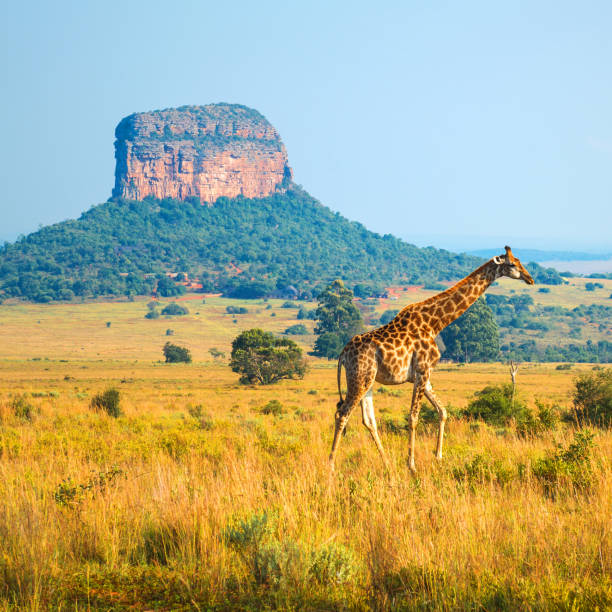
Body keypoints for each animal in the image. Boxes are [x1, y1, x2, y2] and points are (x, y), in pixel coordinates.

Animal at [330, 246, 536, 470]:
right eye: (513, 264)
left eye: (520, 261)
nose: (530, 278)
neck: (435, 323)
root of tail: (343, 354)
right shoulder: (422, 371)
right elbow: (413, 417)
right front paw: (411, 464)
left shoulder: (424, 375)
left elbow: (442, 411)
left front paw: (438, 456)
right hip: (360, 378)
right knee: (342, 413)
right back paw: (330, 465)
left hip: (368, 380)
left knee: (368, 420)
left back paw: (387, 464)